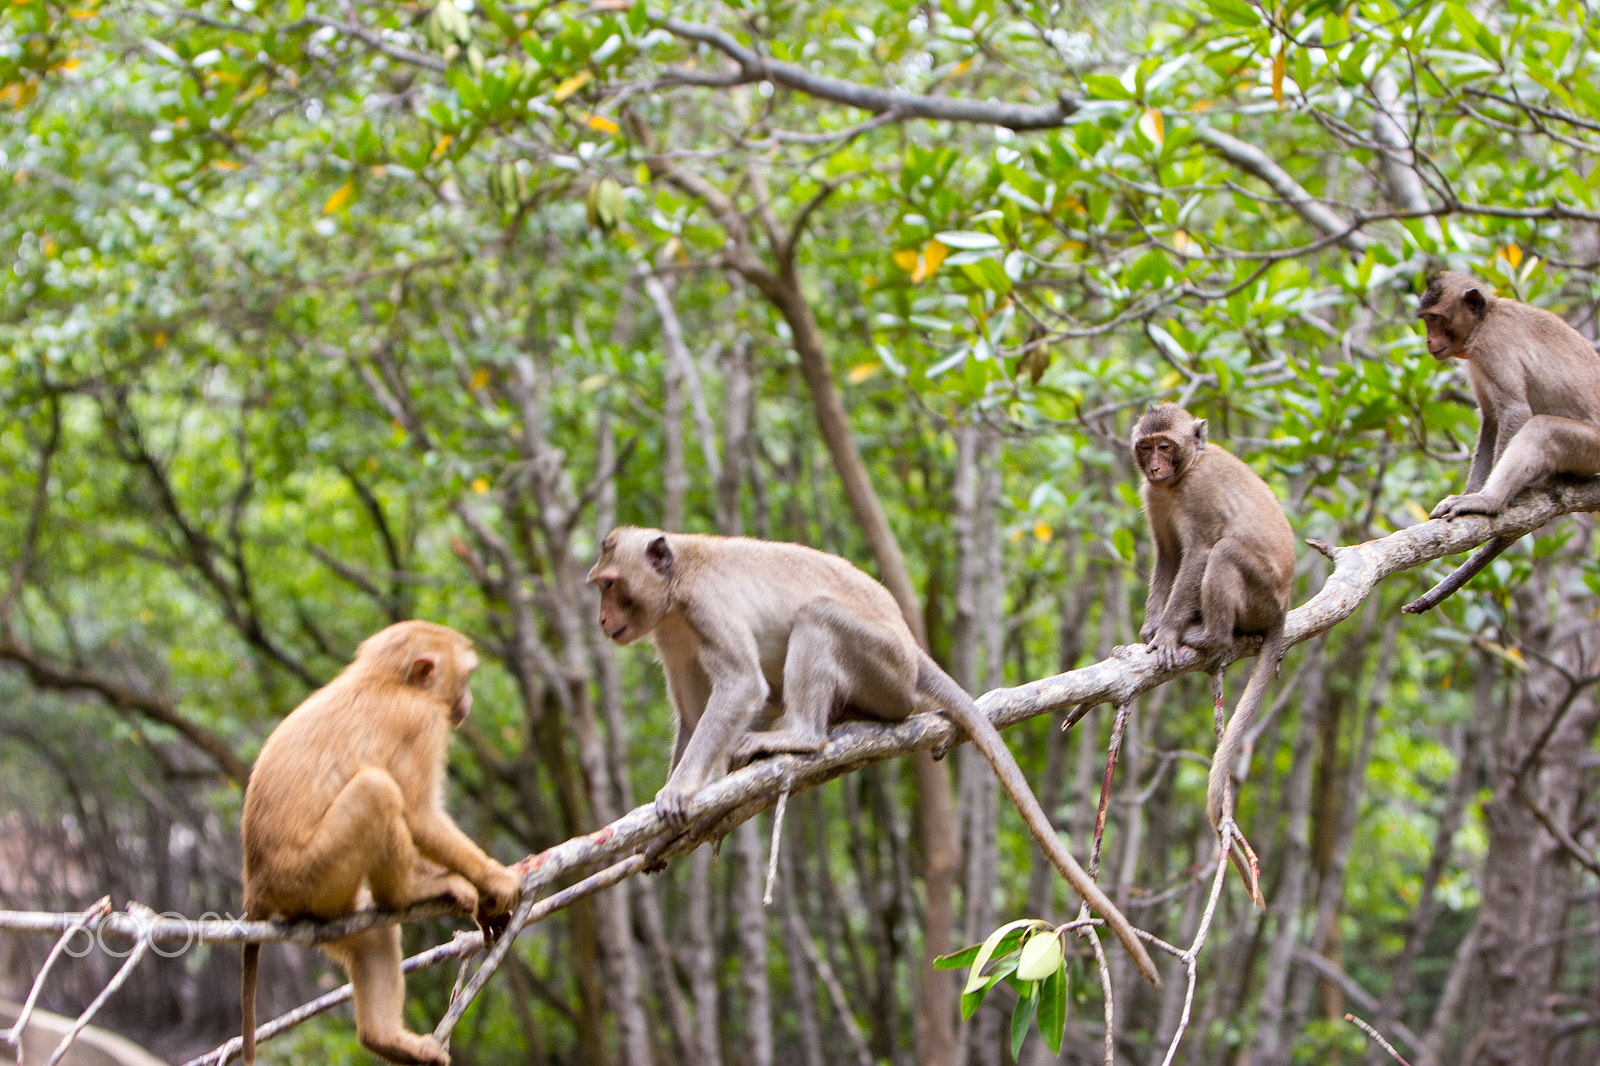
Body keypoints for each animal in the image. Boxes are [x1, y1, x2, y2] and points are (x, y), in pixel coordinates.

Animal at [239, 621, 523, 1066]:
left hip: (321, 907)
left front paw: (484, 901)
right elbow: (420, 816)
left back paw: (385, 1039)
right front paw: (494, 880)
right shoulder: (421, 722)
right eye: (467, 677)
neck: (386, 679)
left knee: (371, 939)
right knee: (378, 789)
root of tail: (257, 888)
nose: (468, 700)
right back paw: (406, 893)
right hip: (309, 876)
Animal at [586, 527, 1161, 985]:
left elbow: (741, 686)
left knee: (816, 617)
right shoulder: (670, 633)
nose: (601, 620)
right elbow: (691, 717)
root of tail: (913, 652)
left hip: (883, 668)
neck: (678, 582)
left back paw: (804, 737)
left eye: (610, 584)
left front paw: (679, 792)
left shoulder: (705, 607)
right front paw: (665, 832)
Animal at [1133, 404, 1296, 905]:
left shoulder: (1198, 496)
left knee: (1223, 552)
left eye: (1166, 446)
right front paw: (1149, 630)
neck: (1181, 477)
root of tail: (1283, 607)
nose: (1155, 467)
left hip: (1260, 595)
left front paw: (1167, 634)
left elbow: (1199, 552)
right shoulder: (1154, 496)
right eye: (1146, 447)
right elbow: (1168, 554)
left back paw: (1212, 636)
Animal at [1403, 271, 1600, 613]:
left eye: (1435, 319)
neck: (1485, 320)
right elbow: (1491, 421)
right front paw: (1468, 492)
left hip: (1593, 447)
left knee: (1541, 429)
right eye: (1426, 320)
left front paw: (1483, 498)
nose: (1428, 341)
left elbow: (1514, 411)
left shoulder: (1493, 348)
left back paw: (1492, 500)